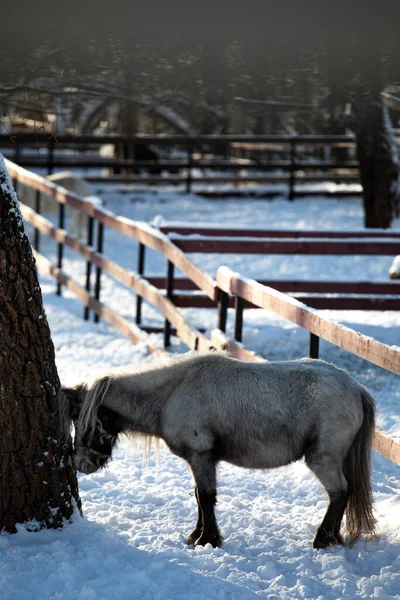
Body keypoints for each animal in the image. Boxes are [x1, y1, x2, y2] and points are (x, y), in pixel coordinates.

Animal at [61, 352, 376, 548]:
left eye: (86, 421)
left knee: (340, 492)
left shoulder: (201, 456)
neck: (173, 393)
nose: (80, 463)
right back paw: (334, 536)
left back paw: (322, 539)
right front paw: (197, 535)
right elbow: (199, 497)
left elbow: (206, 497)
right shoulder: (199, 460)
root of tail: (356, 388)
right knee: (345, 493)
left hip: (322, 459)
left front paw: (208, 539)